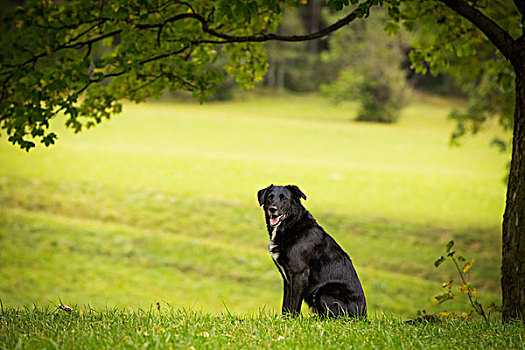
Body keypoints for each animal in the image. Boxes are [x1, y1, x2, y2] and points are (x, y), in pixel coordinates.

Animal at [256, 185, 364, 318]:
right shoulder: (287, 278)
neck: (291, 225)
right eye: (270, 197)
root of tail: (363, 315)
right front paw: (284, 320)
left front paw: (292, 320)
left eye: (284, 198)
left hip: (323, 291)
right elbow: (286, 304)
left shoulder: (299, 274)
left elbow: (293, 304)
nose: (272, 209)